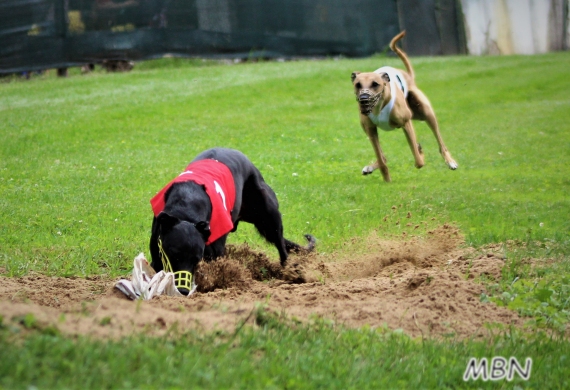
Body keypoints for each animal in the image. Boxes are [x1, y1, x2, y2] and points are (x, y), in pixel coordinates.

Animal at [149, 148, 312, 294]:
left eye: (196, 259)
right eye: (174, 254)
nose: (183, 290)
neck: (187, 203)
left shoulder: (214, 254)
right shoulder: (158, 251)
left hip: (269, 218)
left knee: (281, 246)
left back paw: (290, 274)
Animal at [348, 30, 454, 183]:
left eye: (375, 84)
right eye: (358, 85)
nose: (364, 98)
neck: (378, 107)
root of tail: (407, 74)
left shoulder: (406, 123)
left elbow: (418, 161)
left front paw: (420, 153)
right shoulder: (371, 129)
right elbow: (381, 158)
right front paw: (386, 178)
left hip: (426, 112)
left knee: (439, 140)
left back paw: (450, 161)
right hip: (367, 128)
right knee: (383, 155)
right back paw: (370, 167)